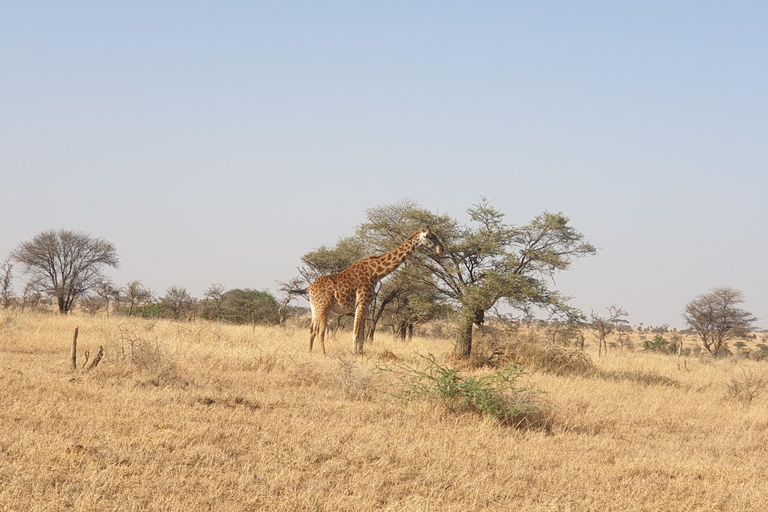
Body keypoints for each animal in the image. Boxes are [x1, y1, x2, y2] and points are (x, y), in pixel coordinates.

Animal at [304, 229, 440, 356]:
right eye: (431, 237)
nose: (441, 249)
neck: (375, 273)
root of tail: (310, 288)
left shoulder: (365, 305)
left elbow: (361, 334)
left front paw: (360, 353)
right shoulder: (361, 303)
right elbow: (355, 332)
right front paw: (354, 354)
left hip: (315, 308)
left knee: (312, 331)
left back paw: (310, 352)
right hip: (324, 307)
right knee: (320, 332)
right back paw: (324, 354)